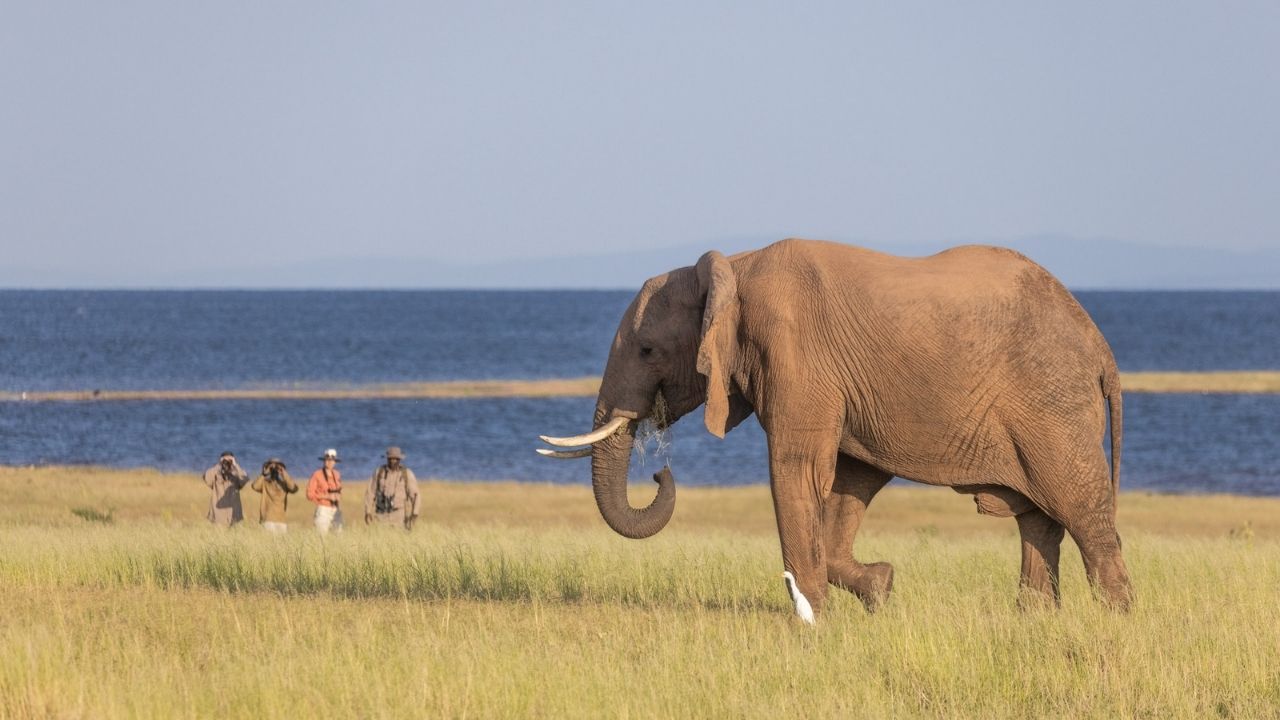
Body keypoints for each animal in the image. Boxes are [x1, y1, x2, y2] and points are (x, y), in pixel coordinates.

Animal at [538, 238, 1132, 621]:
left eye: (646, 350)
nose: (659, 472)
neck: (733, 269)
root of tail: (1102, 347)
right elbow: (850, 480)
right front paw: (879, 589)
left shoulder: (797, 357)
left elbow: (798, 470)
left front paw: (814, 619)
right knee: (1039, 522)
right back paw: (1035, 622)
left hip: (1052, 406)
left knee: (1083, 516)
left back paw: (1114, 624)